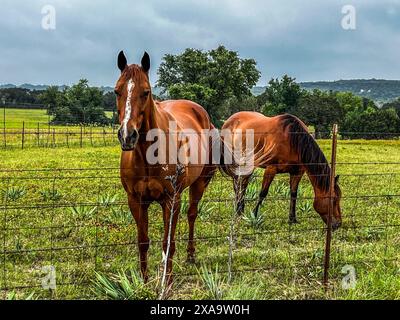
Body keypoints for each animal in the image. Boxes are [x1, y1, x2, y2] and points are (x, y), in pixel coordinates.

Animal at [114, 50, 217, 282]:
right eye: (116, 91)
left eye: (146, 92)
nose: (127, 135)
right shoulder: (136, 201)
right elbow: (143, 242)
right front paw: (144, 281)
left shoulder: (171, 200)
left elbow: (168, 244)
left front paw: (167, 282)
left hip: (199, 183)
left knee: (192, 214)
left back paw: (190, 255)